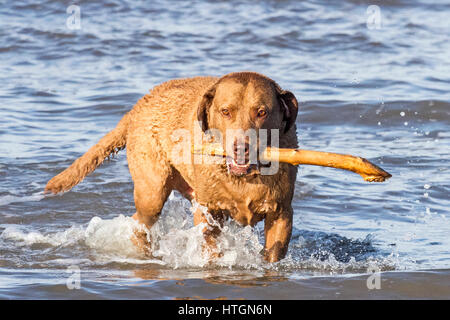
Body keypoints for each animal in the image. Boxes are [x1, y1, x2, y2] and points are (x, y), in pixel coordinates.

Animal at [44, 72, 298, 262]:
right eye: (225, 111)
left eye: (261, 112)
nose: (241, 147)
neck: (245, 177)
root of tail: (139, 105)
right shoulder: (209, 213)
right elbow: (211, 250)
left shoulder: (282, 212)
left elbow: (273, 253)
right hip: (152, 190)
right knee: (140, 222)